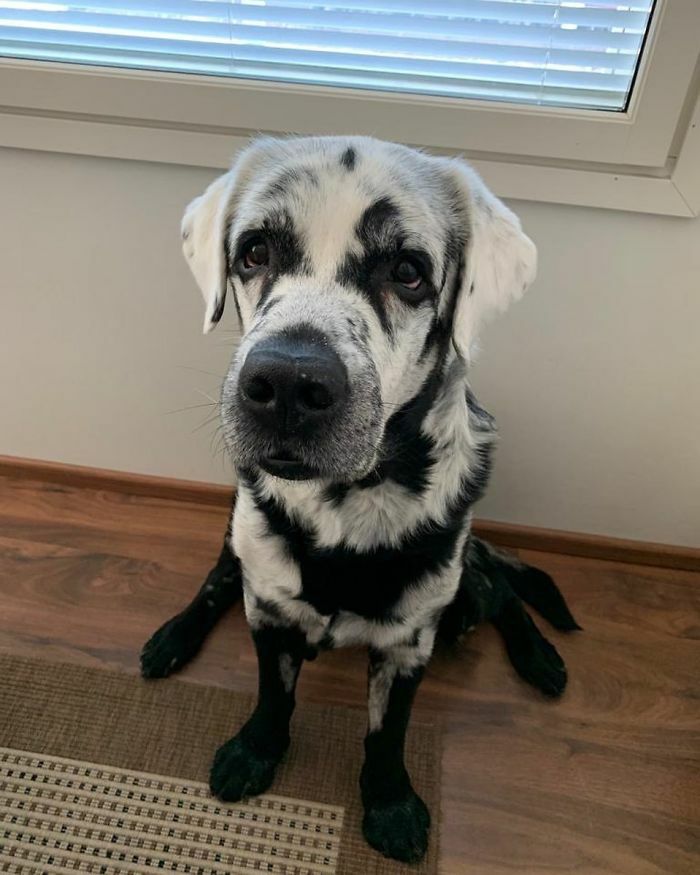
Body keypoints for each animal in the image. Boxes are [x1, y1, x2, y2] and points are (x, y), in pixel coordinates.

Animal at [139, 137, 576, 864]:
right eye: (254, 251)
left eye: (408, 271)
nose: (286, 383)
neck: (345, 509)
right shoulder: (268, 606)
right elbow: (273, 695)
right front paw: (255, 751)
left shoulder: (410, 641)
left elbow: (386, 733)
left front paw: (391, 801)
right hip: (236, 533)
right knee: (216, 578)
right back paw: (173, 635)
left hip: (462, 591)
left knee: (499, 591)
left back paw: (539, 656)